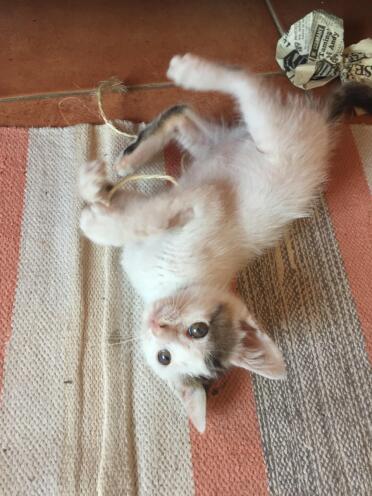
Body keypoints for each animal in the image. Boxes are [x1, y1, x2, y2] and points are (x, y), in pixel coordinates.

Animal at [79, 55, 372, 434]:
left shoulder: (206, 201)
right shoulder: (188, 203)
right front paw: (93, 189)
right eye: (197, 329)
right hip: (234, 143)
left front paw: (94, 220)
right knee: (196, 106)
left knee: (242, 86)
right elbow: (136, 212)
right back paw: (134, 151)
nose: (158, 325)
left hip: (267, 134)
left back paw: (190, 74)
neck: (171, 284)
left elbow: (137, 219)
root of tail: (321, 128)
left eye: (166, 356)